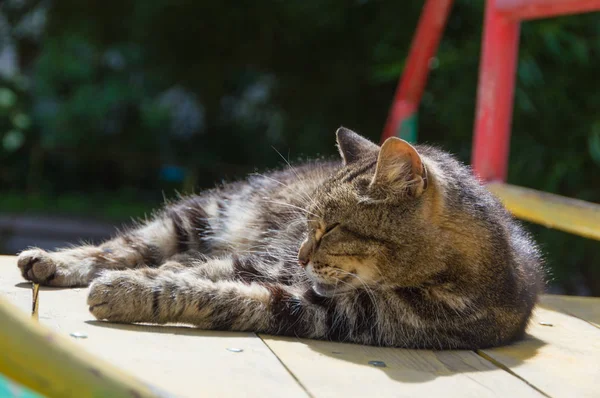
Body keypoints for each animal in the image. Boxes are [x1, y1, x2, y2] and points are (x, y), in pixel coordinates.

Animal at [17, 127, 544, 348]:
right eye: (309, 224)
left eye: (332, 228)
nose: (303, 254)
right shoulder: (268, 262)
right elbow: (196, 270)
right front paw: (144, 280)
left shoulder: (323, 311)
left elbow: (216, 294)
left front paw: (132, 292)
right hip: (197, 216)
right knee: (123, 247)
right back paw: (49, 260)